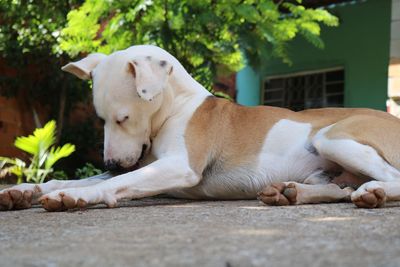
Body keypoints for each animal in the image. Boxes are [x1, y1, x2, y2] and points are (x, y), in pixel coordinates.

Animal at [0, 45, 400, 213]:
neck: (175, 108)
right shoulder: (144, 163)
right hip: (328, 166)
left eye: (122, 118)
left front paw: (77, 197)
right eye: (101, 118)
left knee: (388, 178)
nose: (112, 163)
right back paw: (291, 192)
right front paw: (22, 191)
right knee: (338, 188)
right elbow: (72, 178)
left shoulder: (180, 166)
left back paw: (374, 191)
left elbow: (115, 183)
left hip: (330, 137)